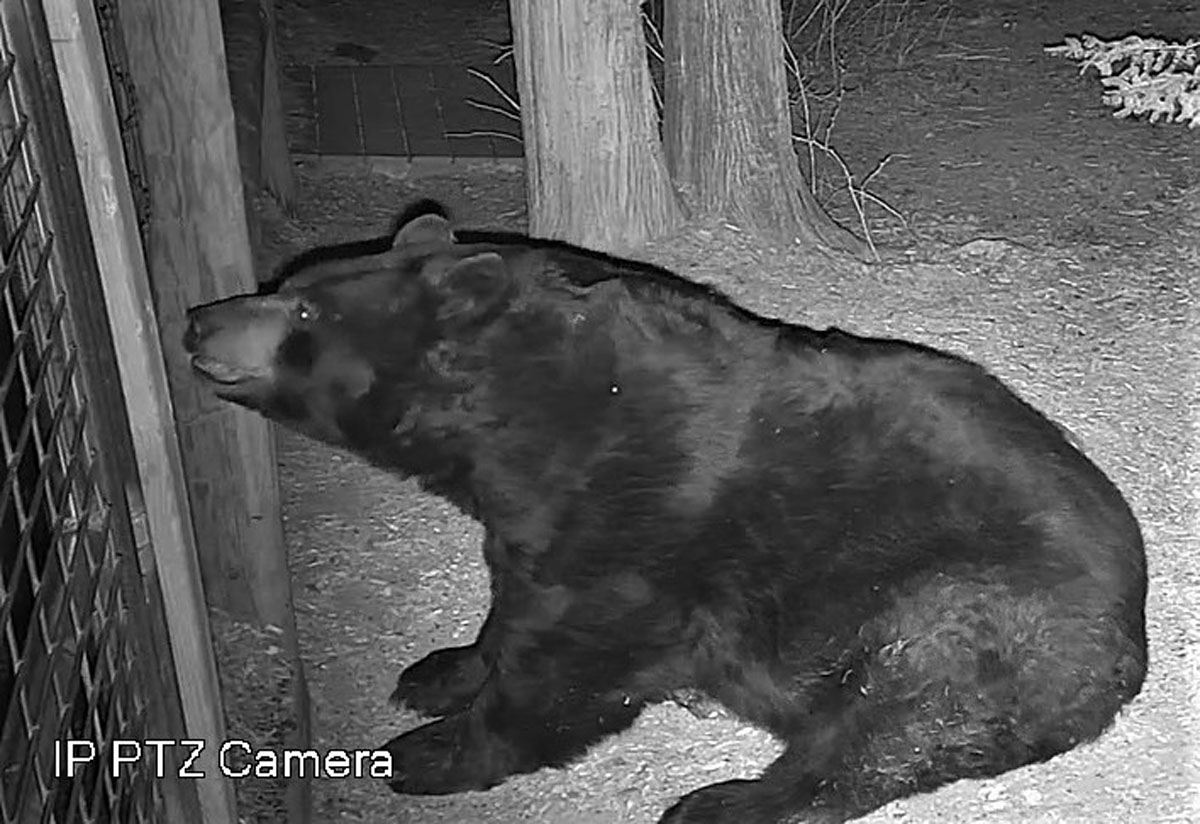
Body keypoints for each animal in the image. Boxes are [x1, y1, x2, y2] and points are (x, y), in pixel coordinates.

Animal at [183, 207, 1147, 824]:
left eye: (304, 310)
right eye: (292, 284)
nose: (197, 318)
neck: (521, 420)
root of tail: (1130, 642)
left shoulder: (640, 512)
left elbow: (572, 656)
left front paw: (429, 752)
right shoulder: (533, 516)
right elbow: (513, 605)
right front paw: (440, 669)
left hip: (975, 603)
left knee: (893, 713)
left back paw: (728, 802)